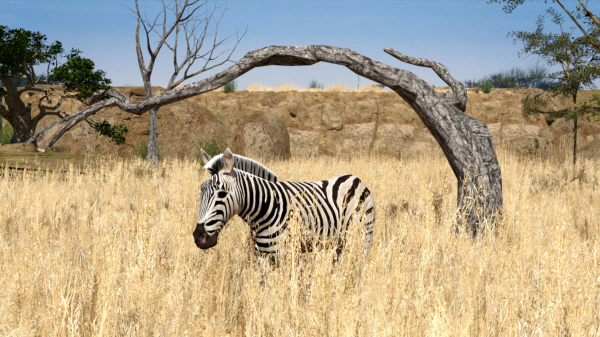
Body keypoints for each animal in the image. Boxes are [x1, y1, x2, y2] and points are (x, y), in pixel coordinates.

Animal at [192, 148, 376, 260]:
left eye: (222, 194)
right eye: (201, 192)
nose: (198, 237)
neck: (265, 209)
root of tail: (354, 178)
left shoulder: (284, 255)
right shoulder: (263, 257)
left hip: (362, 236)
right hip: (339, 242)